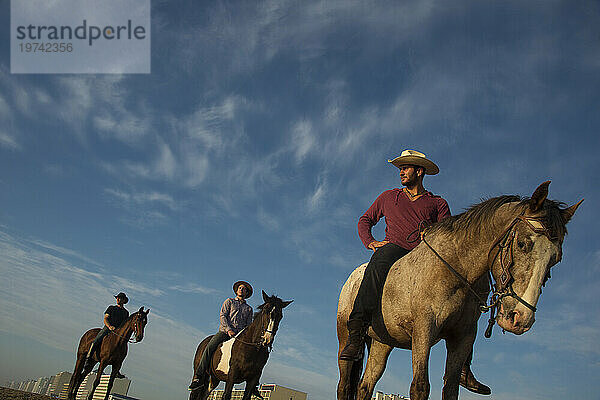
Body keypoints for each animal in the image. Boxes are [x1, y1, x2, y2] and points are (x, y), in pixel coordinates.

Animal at [338, 182, 580, 400]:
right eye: (522, 243)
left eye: (555, 259)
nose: (520, 318)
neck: (457, 268)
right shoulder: (424, 330)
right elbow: (420, 386)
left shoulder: (463, 336)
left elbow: (451, 388)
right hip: (345, 338)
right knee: (344, 384)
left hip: (382, 344)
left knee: (365, 386)